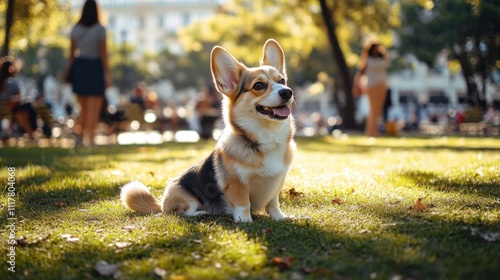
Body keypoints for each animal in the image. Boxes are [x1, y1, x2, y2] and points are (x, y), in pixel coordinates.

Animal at [119, 40, 294, 223]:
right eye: (258, 85)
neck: (266, 136)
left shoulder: (276, 185)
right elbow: (243, 204)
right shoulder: (237, 185)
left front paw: (280, 217)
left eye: (282, 81)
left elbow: (273, 204)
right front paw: (245, 221)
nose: (287, 92)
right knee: (179, 212)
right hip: (184, 197)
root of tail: (161, 204)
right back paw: (200, 213)